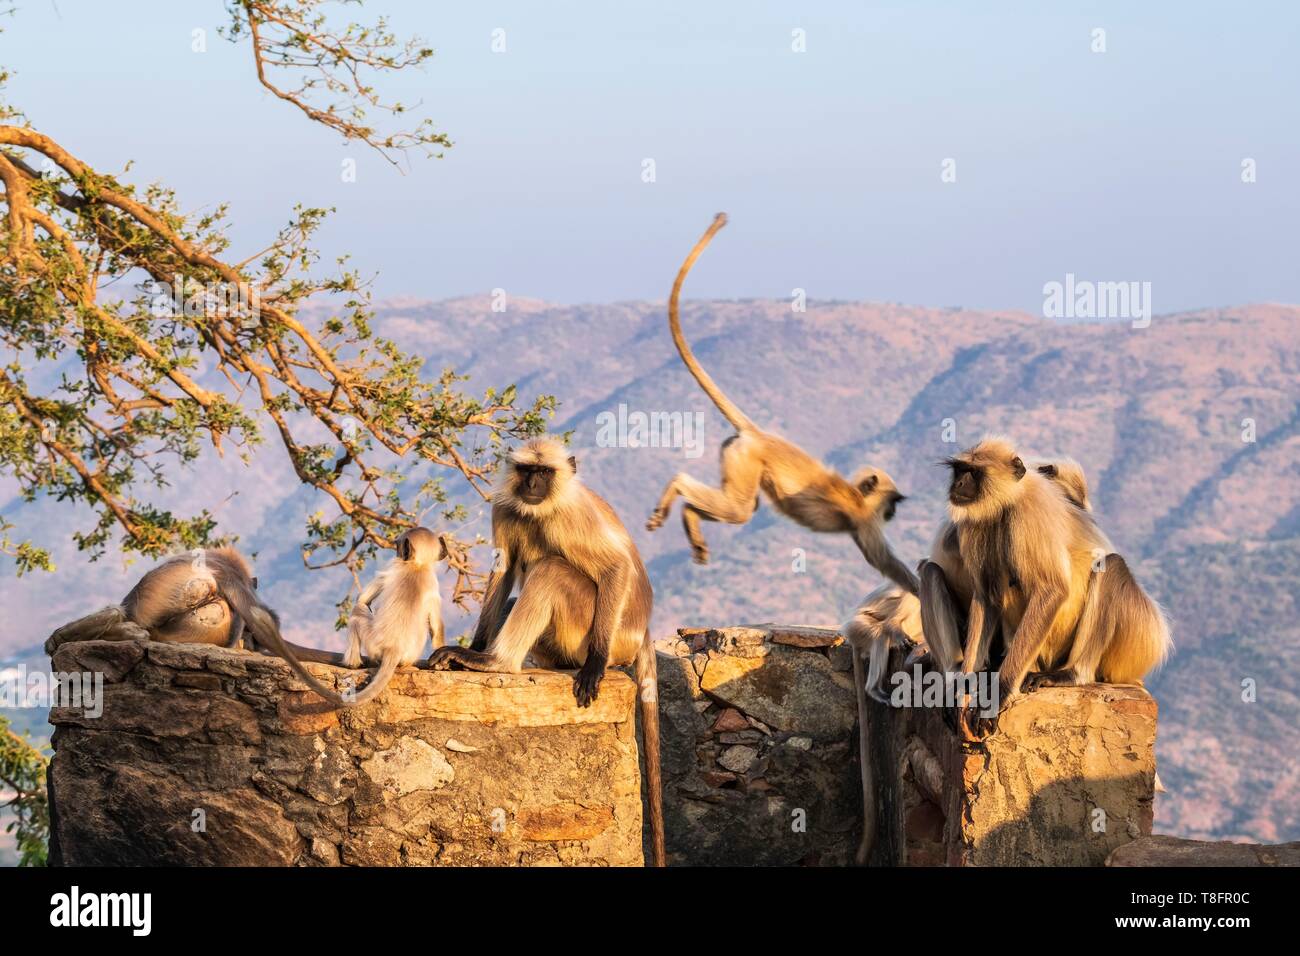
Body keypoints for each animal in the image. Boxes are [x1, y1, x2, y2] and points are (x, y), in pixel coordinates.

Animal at [426, 437, 666, 866]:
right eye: (526, 471)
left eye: (545, 472)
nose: (533, 484)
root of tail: (641, 632)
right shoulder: (505, 507)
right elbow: (503, 571)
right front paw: (472, 646)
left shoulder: (572, 515)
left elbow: (616, 567)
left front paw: (594, 666)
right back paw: (485, 655)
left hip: (590, 626)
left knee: (552, 570)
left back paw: (497, 662)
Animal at [644, 213, 918, 594]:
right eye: (892, 502)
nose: (892, 513)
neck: (856, 494)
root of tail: (758, 435)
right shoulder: (864, 520)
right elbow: (885, 562)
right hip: (744, 461)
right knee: (737, 507)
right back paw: (678, 485)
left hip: (735, 458)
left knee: (745, 507)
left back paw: (689, 520)